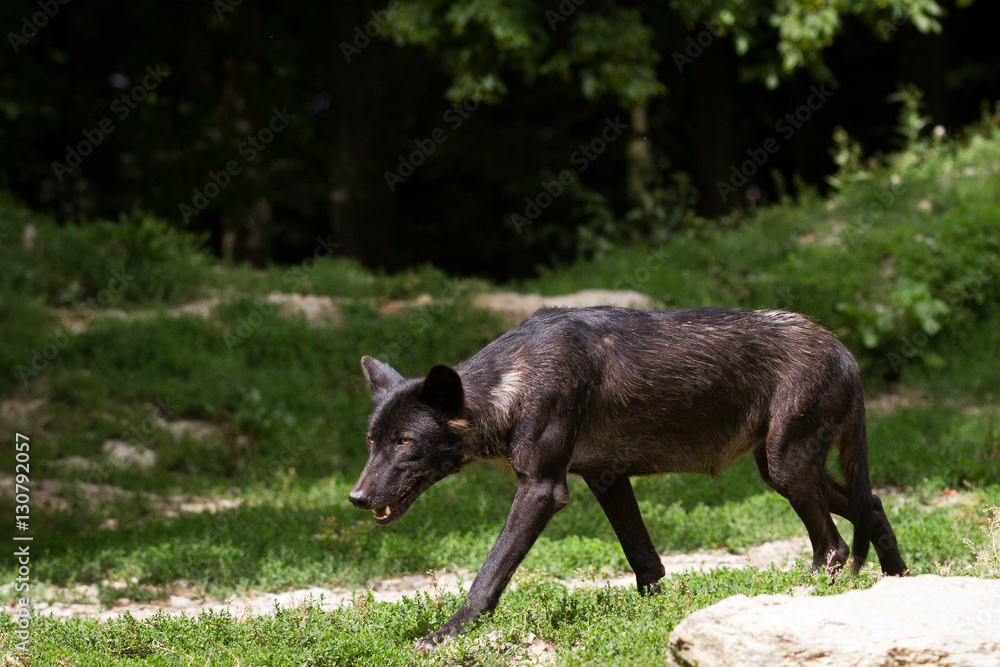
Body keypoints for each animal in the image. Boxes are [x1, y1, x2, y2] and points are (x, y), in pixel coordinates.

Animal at [349, 306, 907, 649]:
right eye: (373, 442)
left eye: (406, 443)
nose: (356, 497)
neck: (515, 379)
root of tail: (845, 352)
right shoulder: (607, 480)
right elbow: (646, 562)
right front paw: (653, 615)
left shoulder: (541, 490)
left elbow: (488, 575)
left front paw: (445, 636)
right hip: (780, 470)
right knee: (873, 504)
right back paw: (901, 583)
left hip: (787, 469)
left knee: (834, 548)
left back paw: (799, 601)